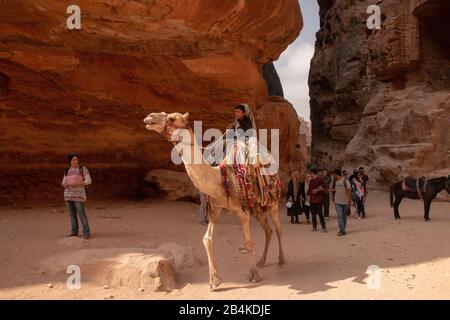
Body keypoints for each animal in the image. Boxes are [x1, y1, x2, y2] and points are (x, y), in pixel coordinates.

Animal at [144, 112, 284, 290]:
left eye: (171, 118)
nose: (149, 117)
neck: (220, 178)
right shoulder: (216, 209)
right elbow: (207, 239)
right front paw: (214, 280)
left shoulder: (242, 212)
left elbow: (248, 242)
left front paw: (254, 276)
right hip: (257, 208)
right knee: (268, 230)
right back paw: (262, 261)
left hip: (272, 202)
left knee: (278, 229)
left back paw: (281, 261)